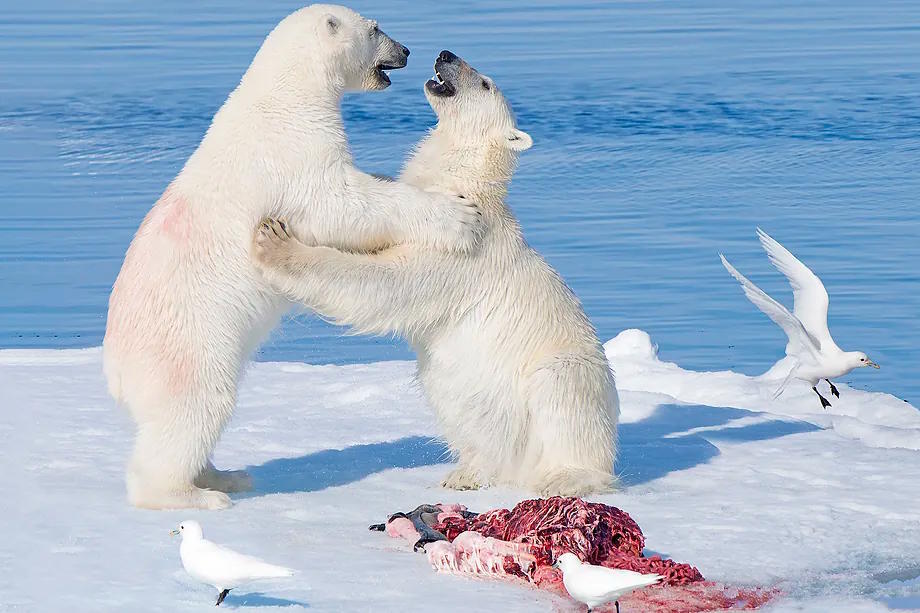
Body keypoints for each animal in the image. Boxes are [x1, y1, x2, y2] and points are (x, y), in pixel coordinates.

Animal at [103, 6, 483, 510]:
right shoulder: (291, 155)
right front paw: (458, 215)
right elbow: (341, 205)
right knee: (195, 409)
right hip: (185, 345)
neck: (284, 97)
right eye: (375, 28)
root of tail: (116, 370)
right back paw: (195, 494)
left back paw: (226, 475)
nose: (405, 50)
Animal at [252, 50, 618, 497]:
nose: (446, 55)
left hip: (567, 372)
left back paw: (564, 478)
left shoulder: (460, 250)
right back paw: (465, 473)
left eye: (485, 83)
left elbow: (384, 284)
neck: (462, 184)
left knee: (561, 393)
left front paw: (275, 243)